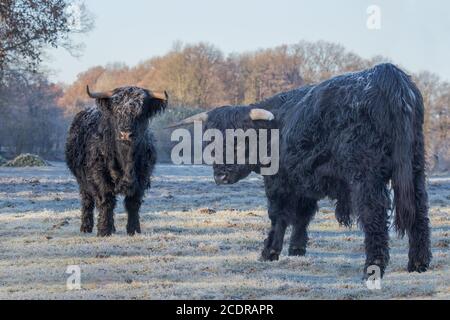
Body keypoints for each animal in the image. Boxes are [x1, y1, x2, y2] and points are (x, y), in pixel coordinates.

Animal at [65, 86, 167, 236]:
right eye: (117, 112)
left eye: (141, 112)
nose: (125, 134)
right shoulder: (99, 177)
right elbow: (106, 201)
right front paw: (104, 230)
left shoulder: (142, 177)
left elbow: (133, 203)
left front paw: (134, 229)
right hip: (82, 180)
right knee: (87, 200)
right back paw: (86, 227)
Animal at [174, 63, 430, 278]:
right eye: (210, 142)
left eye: (239, 140)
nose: (221, 175)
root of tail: (387, 73)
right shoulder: (304, 180)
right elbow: (302, 216)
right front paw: (296, 250)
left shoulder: (277, 180)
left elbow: (278, 216)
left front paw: (269, 252)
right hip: (415, 169)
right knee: (419, 211)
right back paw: (418, 263)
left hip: (366, 174)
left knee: (373, 213)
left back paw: (373, 267)